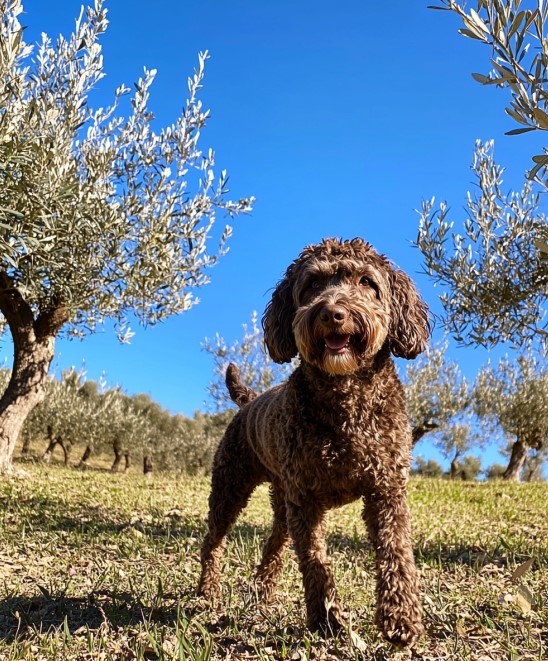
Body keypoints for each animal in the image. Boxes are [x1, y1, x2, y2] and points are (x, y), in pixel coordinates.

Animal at [199, 237, 430, 644]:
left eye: (367, 282)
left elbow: (395, 549)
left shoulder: (385, 487)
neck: (346, 401)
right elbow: (314, 560)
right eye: (311, 285)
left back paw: (263, 592)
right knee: (213, 540)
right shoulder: (306, 499)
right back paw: (207, 591)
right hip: (231, 485)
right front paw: (326, 619)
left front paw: (400, 616)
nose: (333, 313)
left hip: (280, 499)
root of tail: (250, 400)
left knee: (274, 543)